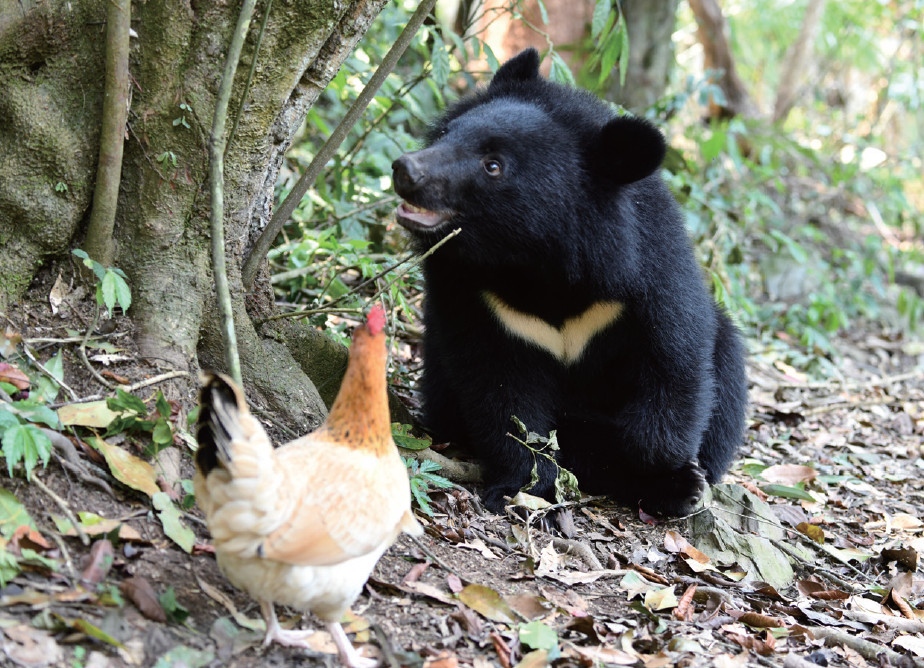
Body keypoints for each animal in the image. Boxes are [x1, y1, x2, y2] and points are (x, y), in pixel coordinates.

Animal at [394, 49, 748, 516]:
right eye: (447, 134)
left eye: (493, 165)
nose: (406, 169)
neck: (537, 265)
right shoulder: (478, 298)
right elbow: (500, 392)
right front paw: (524, 486)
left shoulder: (648, 270)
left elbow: (674, 362)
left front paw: (662, 470)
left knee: (725, 368)